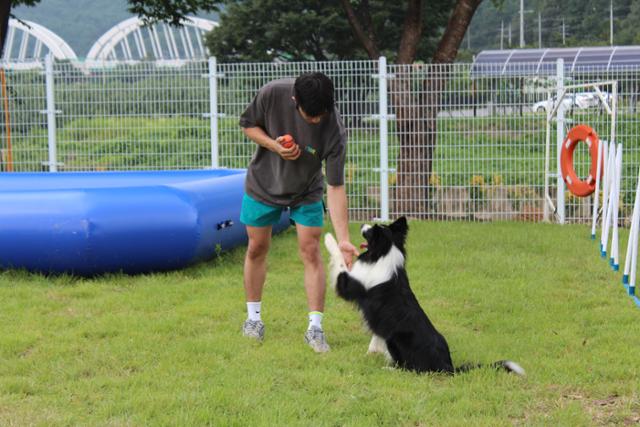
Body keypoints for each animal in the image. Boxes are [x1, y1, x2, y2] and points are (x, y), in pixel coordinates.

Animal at [324, 219, 524, 376]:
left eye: (372, 230)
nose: (360, 225)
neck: (385, 253)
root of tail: (447, 365)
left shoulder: (349, 285)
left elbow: (339, 261)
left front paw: (330, 239)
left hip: (395, 338)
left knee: (409, 368)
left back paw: (389, 368)